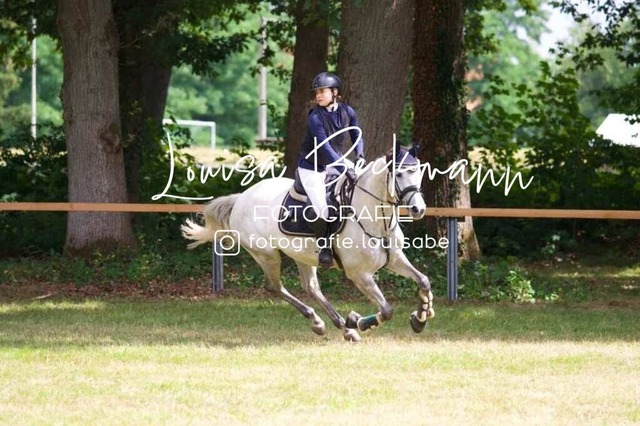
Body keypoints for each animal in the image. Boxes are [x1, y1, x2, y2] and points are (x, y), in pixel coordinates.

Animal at [181, 145, 435, 341]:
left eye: (419, 172)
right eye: (399, 174)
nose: (418, 209)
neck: (374, 217)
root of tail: (241, 197)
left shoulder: (395, 259)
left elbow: (423, 281)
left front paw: (421, 316)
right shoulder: (359, 274)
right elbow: (387, 309)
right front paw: (360, 321)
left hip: (302, 256)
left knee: (310, 287)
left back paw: (338, 327)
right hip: (267, 255)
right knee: (274, 286)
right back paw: (328, 323)